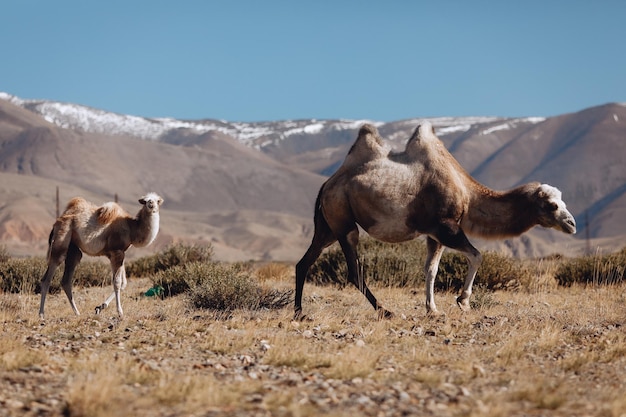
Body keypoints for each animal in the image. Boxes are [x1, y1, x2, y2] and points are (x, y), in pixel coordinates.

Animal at [294, 122, 576, 316]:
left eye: (563, 201)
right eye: (552, 205)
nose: (572, 224)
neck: (467, 193)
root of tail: (327, 184)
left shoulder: (433, 233)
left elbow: (431, 269)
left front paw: (432, 308)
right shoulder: (446, 226)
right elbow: (477, 255)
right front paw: (463, 301)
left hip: (328, 226)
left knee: (304, 262)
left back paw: (299, 313)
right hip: (343, 222)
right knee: (353, 270)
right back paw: (385, 311)